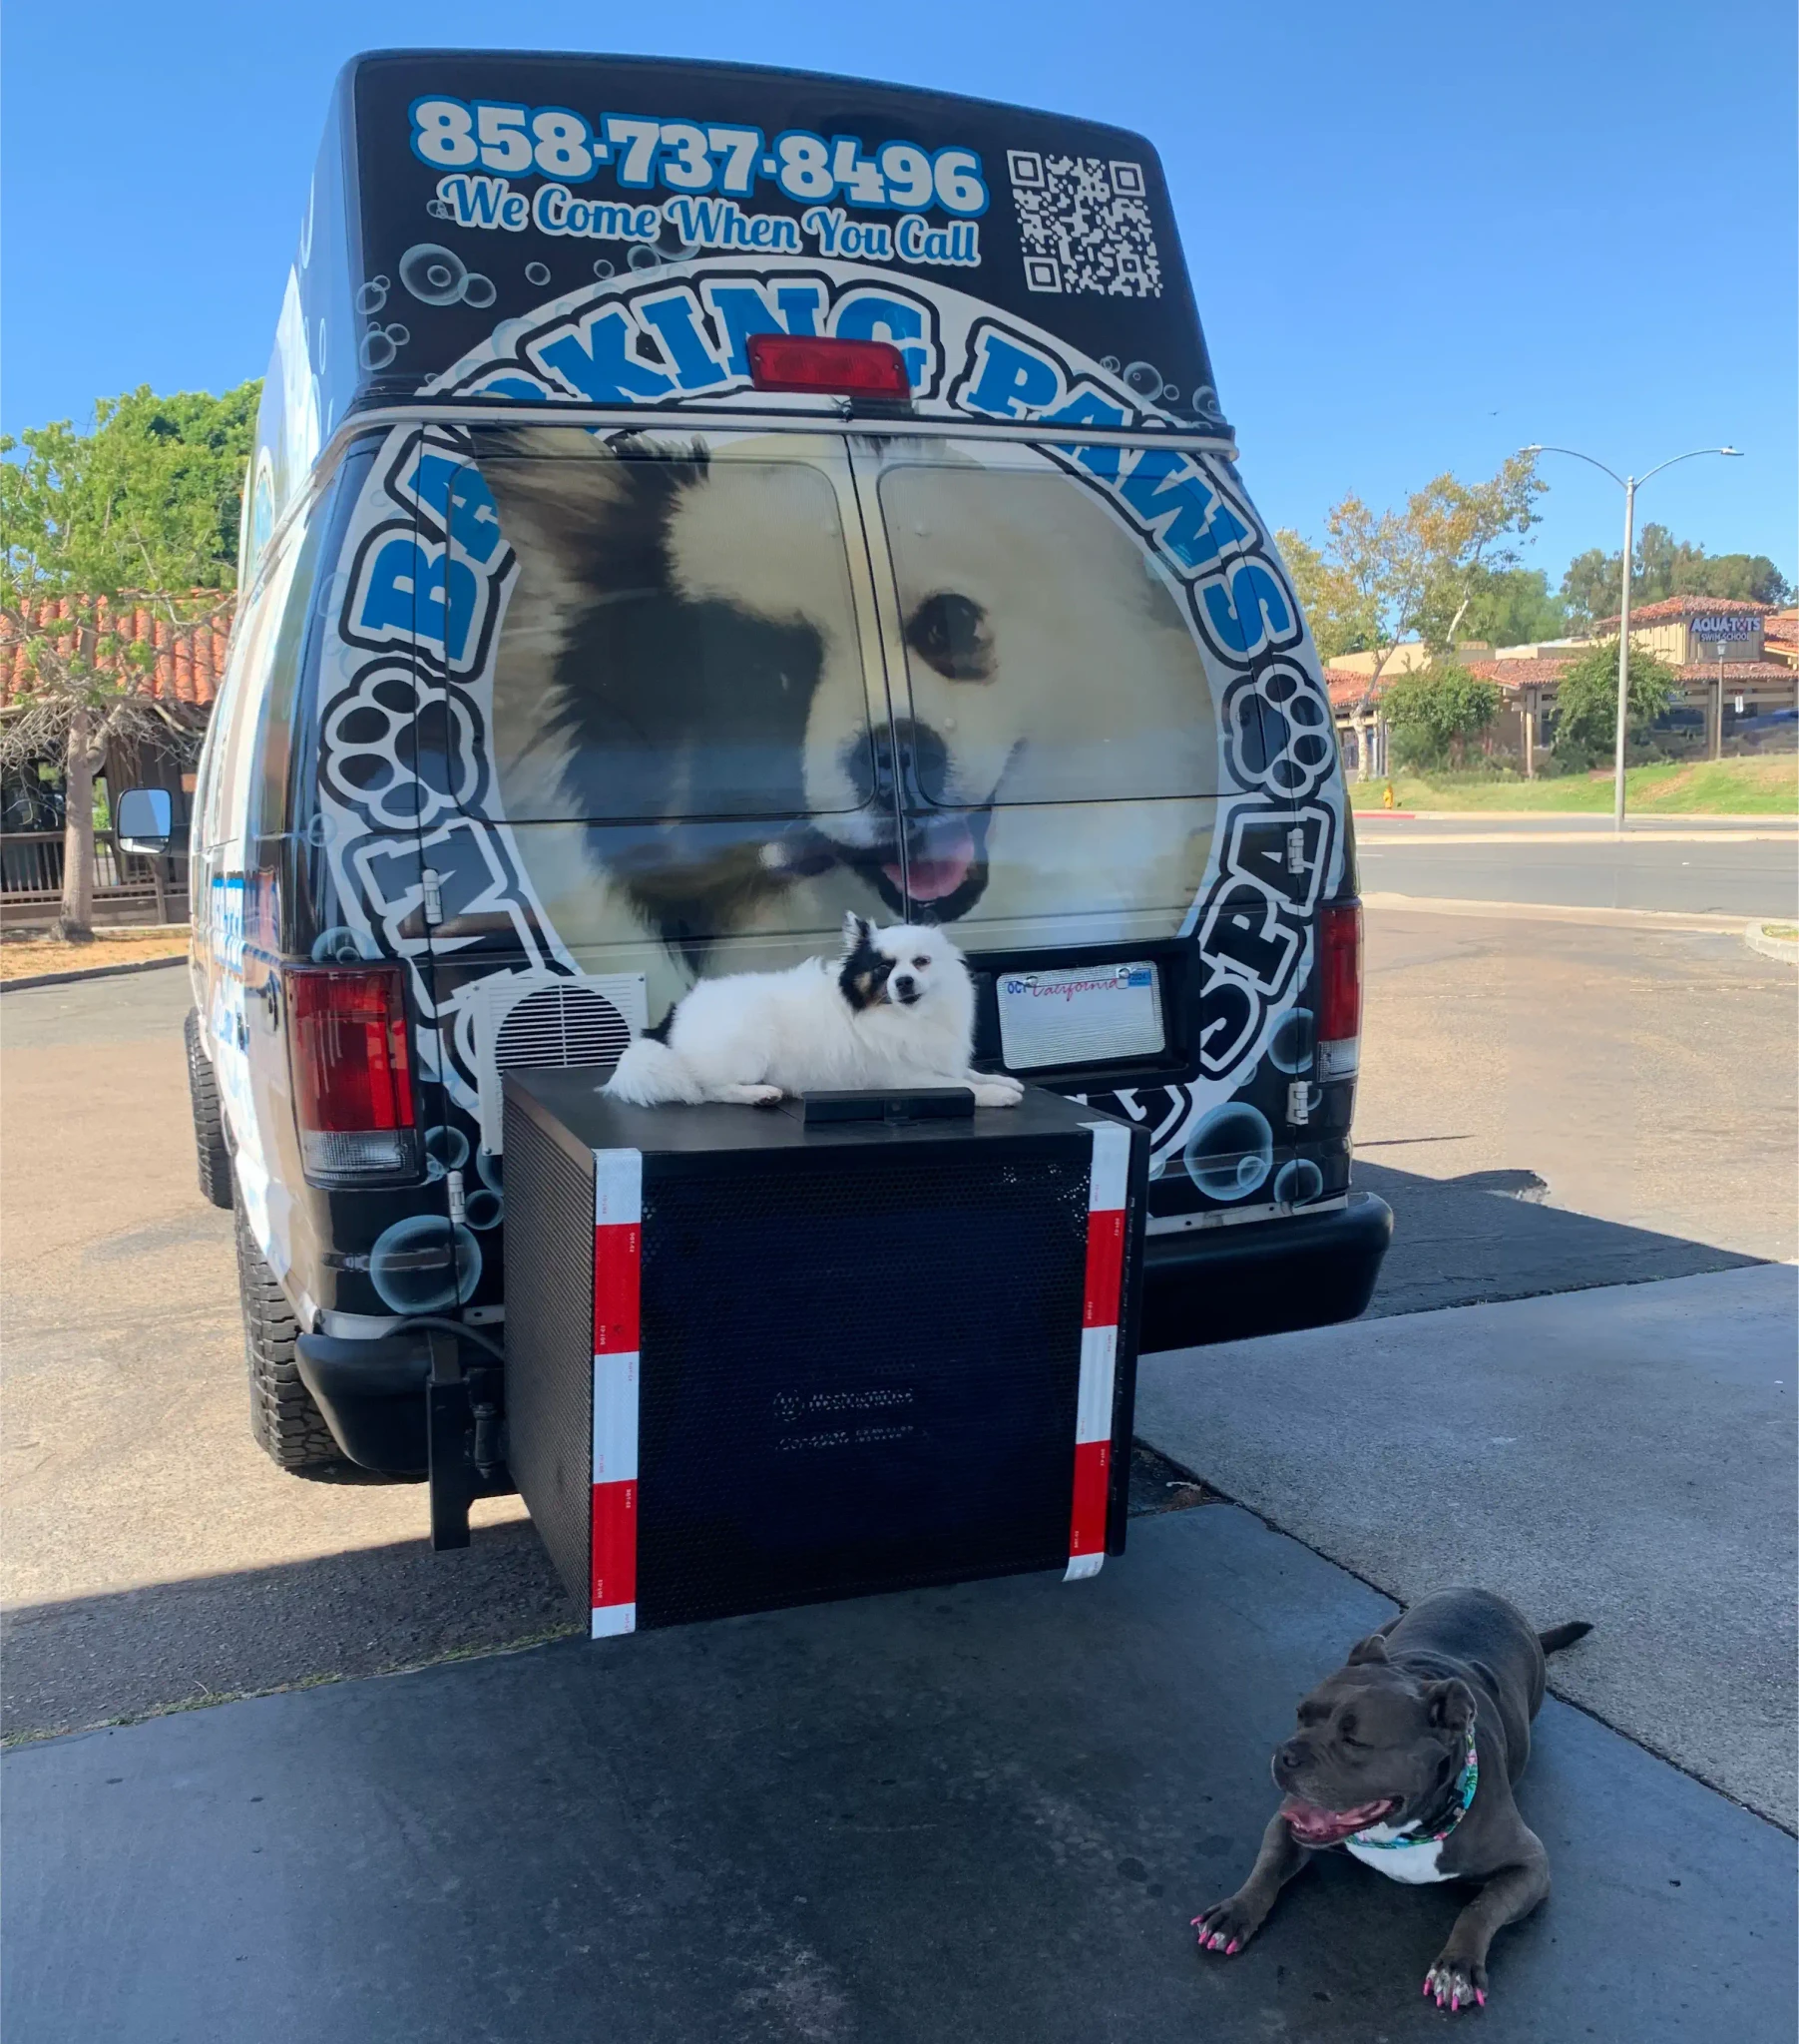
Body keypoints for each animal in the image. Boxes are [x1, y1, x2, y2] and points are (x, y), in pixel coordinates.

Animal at [1193, 1578, 1585, 2011]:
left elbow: (1482, 1907)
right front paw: (1236, 1911)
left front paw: (1458, 1966)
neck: (1404, 1830)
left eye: (1354, 1740)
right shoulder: (1287, 1824)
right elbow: (1269, 1866)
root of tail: (1487, 1595)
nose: (1285, 1755)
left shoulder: (1530, 1865)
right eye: (1301, 1714)